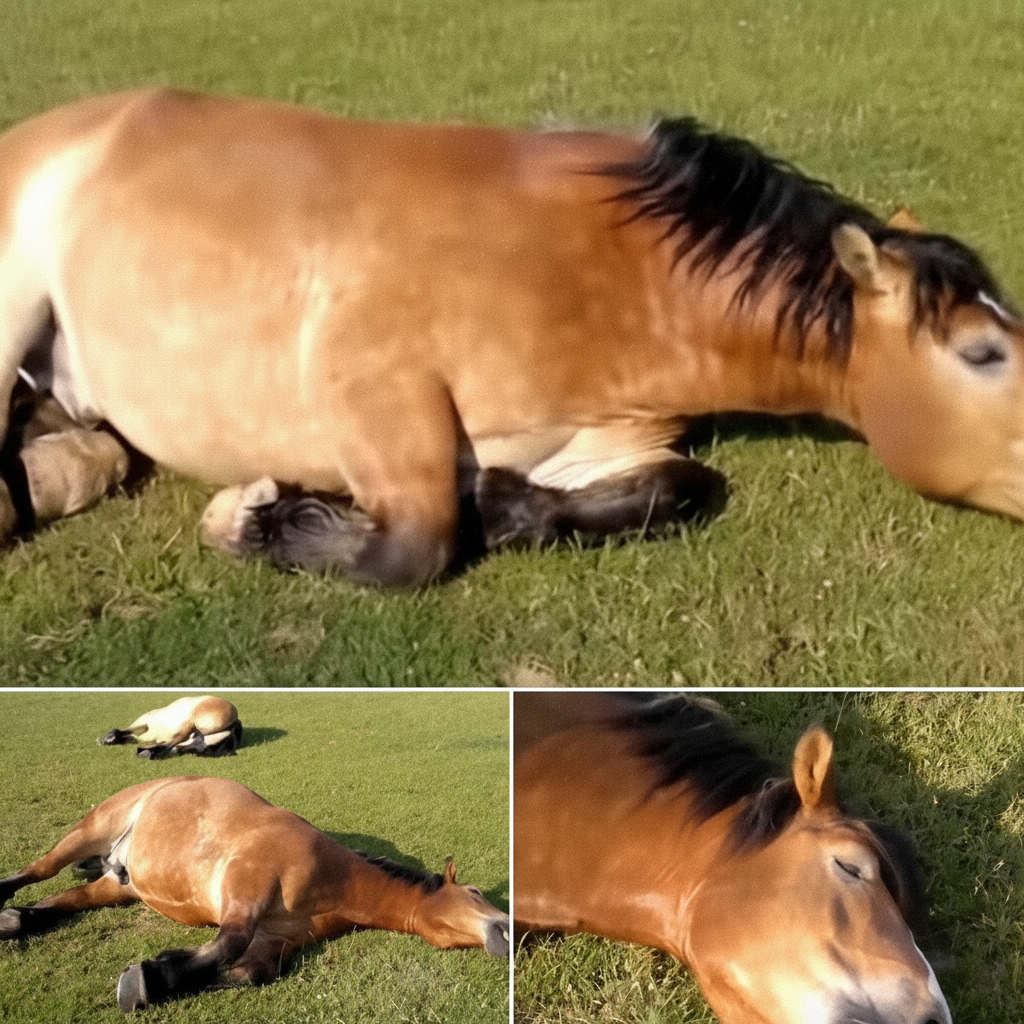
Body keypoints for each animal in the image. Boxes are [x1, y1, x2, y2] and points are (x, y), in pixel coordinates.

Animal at [0, 88, 1021, 585]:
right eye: (984, 353)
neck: (606, 274)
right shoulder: (375, 385)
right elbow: (412, 549)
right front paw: (251, 517)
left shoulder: (602, 443)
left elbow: (681, 490)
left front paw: (501, 501)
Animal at [0, 775, 509, 1012]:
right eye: (476, 891)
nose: (509, 933)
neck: (334, 879)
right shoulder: (245, 892)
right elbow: (229, 943)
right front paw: (148, 977)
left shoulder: (275, 940)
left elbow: (247, 973)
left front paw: (160, 976)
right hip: (89, 831)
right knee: (35, 871)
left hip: (120, 887)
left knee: (57, 903)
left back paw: (14, 920)